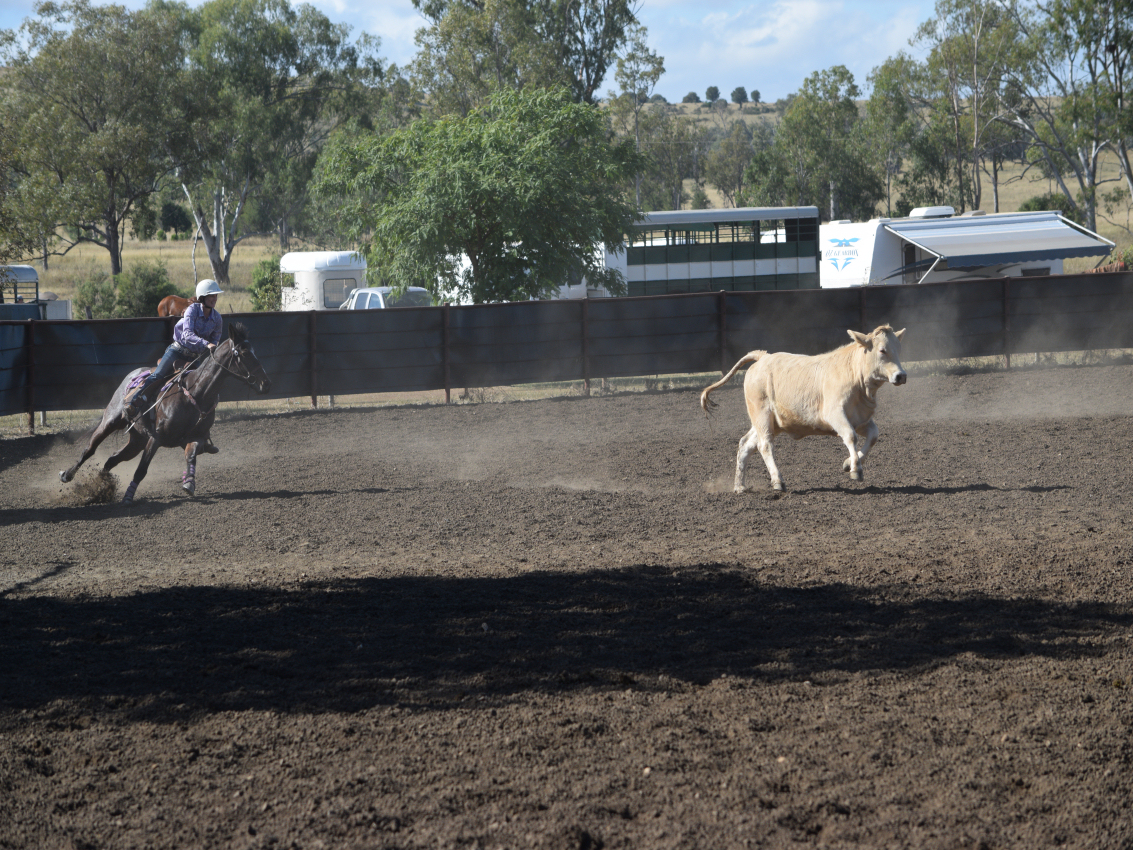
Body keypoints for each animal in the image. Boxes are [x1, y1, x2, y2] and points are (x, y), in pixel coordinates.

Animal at [59, 322, 271, 505]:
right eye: (243, 353)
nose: (265, 384)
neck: (197, 393)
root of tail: (134, 373)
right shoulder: (156, 438)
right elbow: (141, 470)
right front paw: (128, 497)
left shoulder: (196, 438)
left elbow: (191, 456)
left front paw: (189, 483)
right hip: (110, 422)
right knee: (89, 450)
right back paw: (67, 475)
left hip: (137, 440)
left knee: (112, 459)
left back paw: (102, 486)